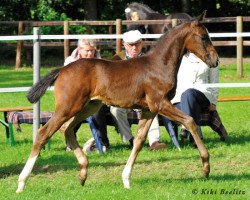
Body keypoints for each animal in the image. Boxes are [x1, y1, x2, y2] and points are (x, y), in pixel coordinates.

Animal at [16, 11, 219, 193]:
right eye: (203, 37)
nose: (215, 60)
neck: (158, 65)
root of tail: (62, 70)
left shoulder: (149, 110)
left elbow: (139, 141)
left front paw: (126, 179)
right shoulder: (160, 103)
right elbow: (190, 121)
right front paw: (206, 166)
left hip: (88, 107)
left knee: (66, 129)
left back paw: (83, 172)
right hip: (68, 107)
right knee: (44, 133)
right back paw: (21, 183)